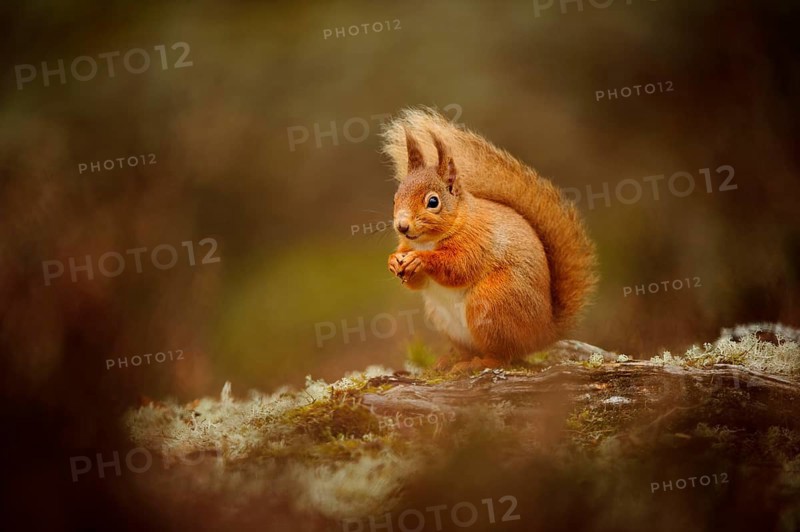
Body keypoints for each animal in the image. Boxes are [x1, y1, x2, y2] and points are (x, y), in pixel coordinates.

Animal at [381, 108, 597, 370]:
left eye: (433, 201)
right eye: (395, 198)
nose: (402, 226)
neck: (428, 240)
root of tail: (543, 333)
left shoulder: (477, 242)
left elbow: (457, 267)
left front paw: (420, 259)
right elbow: (418, 283)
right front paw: (394, 261)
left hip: (491, 304)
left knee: (505, 355)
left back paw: (478, 362)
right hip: (444, 318)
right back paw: (451, 360)